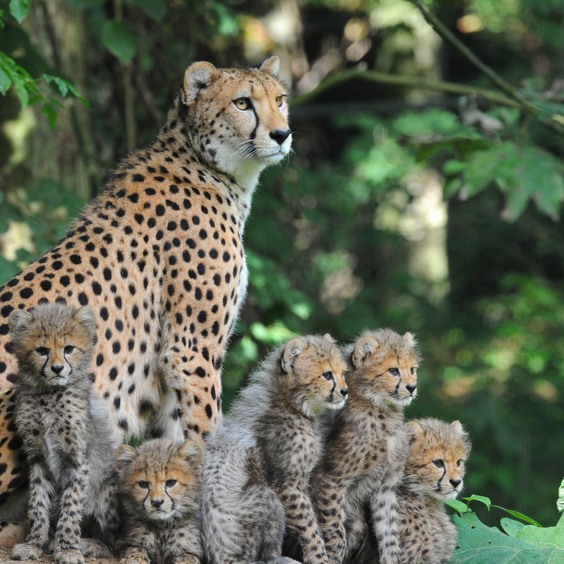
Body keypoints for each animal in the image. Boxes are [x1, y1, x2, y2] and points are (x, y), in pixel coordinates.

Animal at [0, 56, 294, 502]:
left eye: (279, 100)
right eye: (243, 103)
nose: (282, 134)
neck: (209, 169)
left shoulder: (172, 360)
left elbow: (177, 436)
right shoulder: (192, 349)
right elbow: (207, 428)